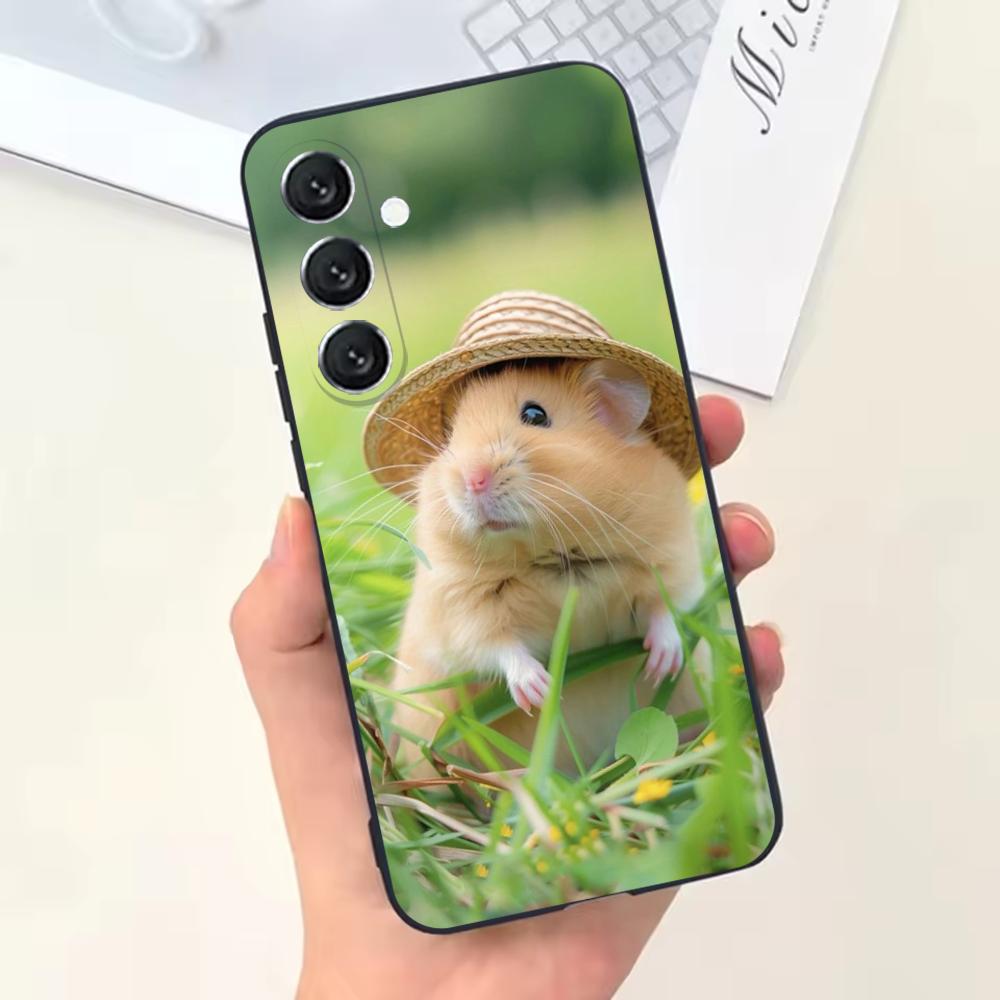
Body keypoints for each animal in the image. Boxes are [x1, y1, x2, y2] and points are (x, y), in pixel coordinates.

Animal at [390, 358, 704, 771]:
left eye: (535, 415)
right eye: (450, 435)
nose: (473, 480)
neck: (557, 557)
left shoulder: (672, 557)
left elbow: (664, 606)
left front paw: (663, 662)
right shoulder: (458, 610)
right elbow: (495, 644)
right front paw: (540, 690)